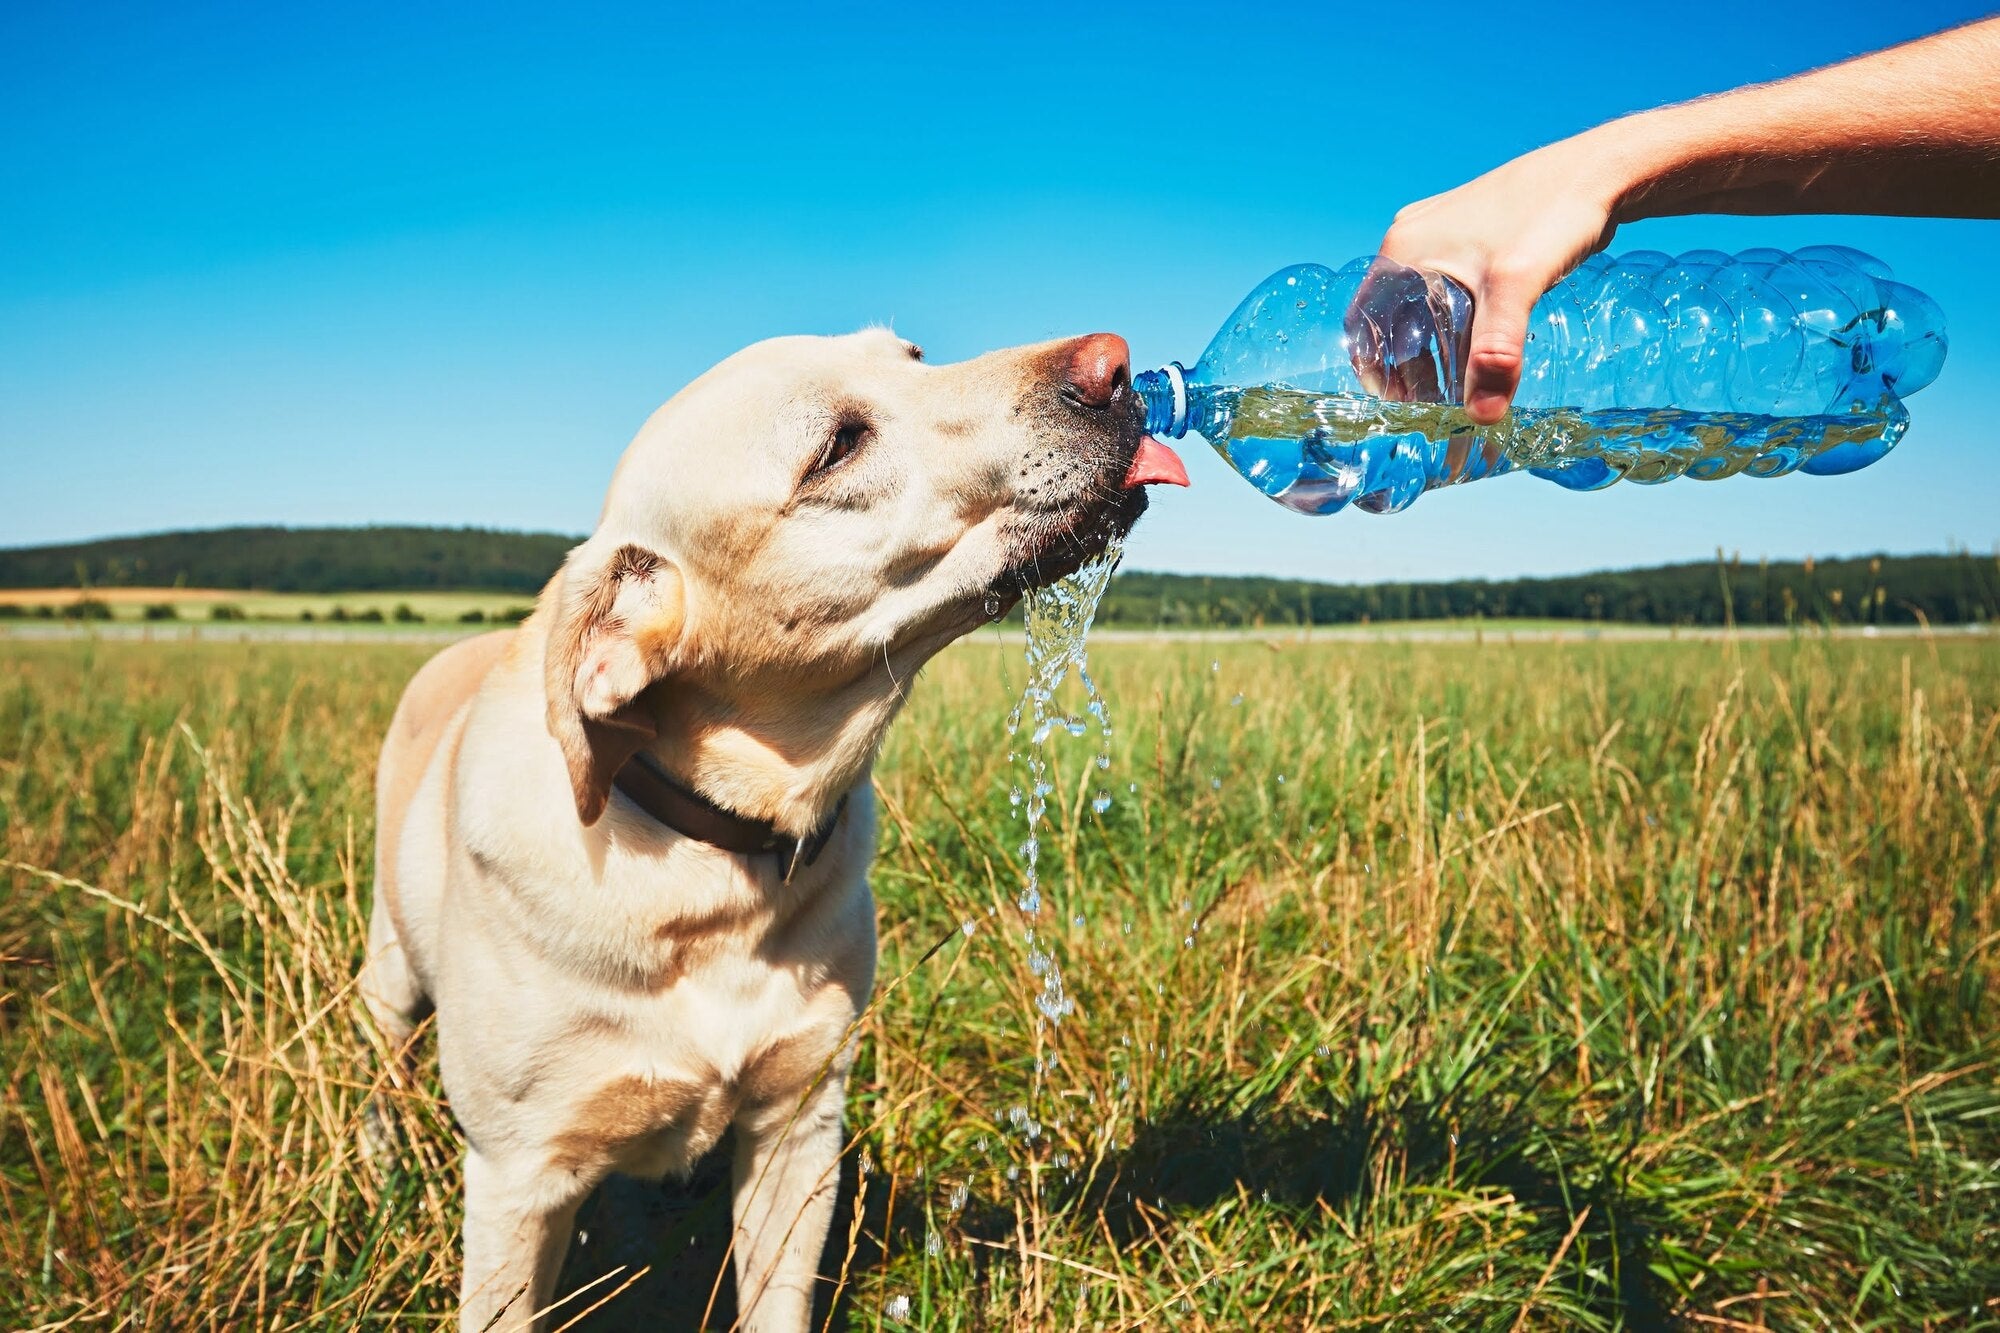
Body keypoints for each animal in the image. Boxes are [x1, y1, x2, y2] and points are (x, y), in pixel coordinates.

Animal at [362, 324, 1184, 1328]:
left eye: (914, 354)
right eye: (837, 446)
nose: (1115, 363)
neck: (712, 860)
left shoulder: (798, 1125)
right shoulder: (519, 1177)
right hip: (389, 976)